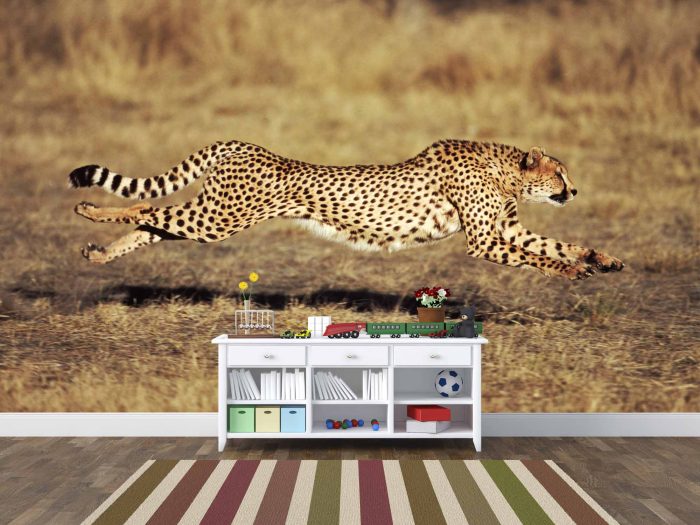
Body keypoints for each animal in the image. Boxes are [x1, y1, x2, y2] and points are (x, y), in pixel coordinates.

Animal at [68, 139, 624, 280]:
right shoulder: (484, 240)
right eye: (559, 174)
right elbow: (539, 256)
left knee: (151, 223)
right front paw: (571, 272)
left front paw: (602, 259)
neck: (506, 170)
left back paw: (98, 253)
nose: (574, 191)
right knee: (143, 206)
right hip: (220, 219)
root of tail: (241, 144)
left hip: (212, 217)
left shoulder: (504, 230)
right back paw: (90, 210)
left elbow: (556, 244)